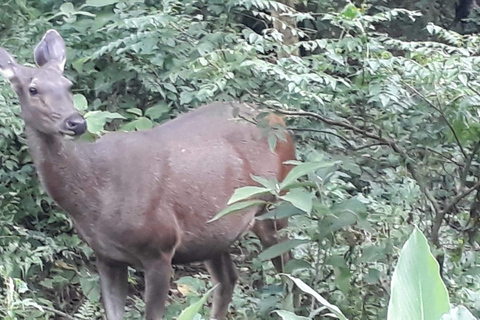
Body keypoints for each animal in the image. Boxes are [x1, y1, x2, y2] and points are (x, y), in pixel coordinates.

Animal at [0, 28, 296, 318]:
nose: (75, 122)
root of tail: (278, 118)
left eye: (68, 85)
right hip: (214, 232)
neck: (96, 198)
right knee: (228, 279)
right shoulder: (105, 256)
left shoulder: (160, 247)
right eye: (33, 89)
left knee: (288, 272)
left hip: (277, 202)